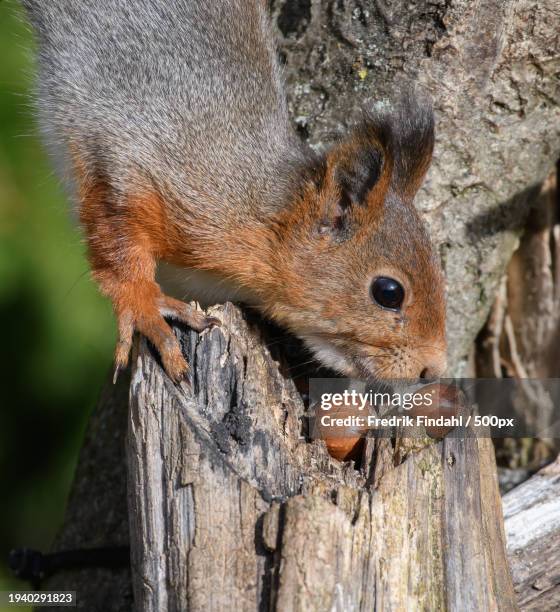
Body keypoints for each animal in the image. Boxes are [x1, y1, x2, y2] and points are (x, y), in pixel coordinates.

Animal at [21, 0, 448, 382]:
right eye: (388, 292)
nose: (432, 371)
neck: (258, 211)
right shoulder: (131, 160)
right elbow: (115, 237)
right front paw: (144, 304)